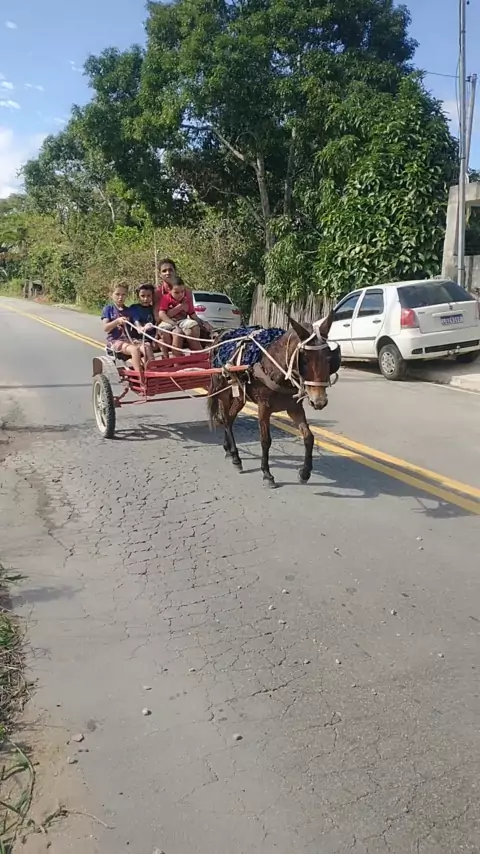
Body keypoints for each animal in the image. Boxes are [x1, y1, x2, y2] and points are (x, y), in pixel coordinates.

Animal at [207, 313, 340, 487]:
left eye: (329, 359)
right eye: (304, 360)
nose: (319, 401)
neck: (275, 369)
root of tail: (221, 334)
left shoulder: (294, 408)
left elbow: (308, 437)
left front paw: (305, 473)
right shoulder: (263, 408)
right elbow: (265, 440)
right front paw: (267, 473)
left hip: (239, 396)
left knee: (228, 417)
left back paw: (228, 449)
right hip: (223, 391)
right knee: (226, 420)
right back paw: (236, 457)